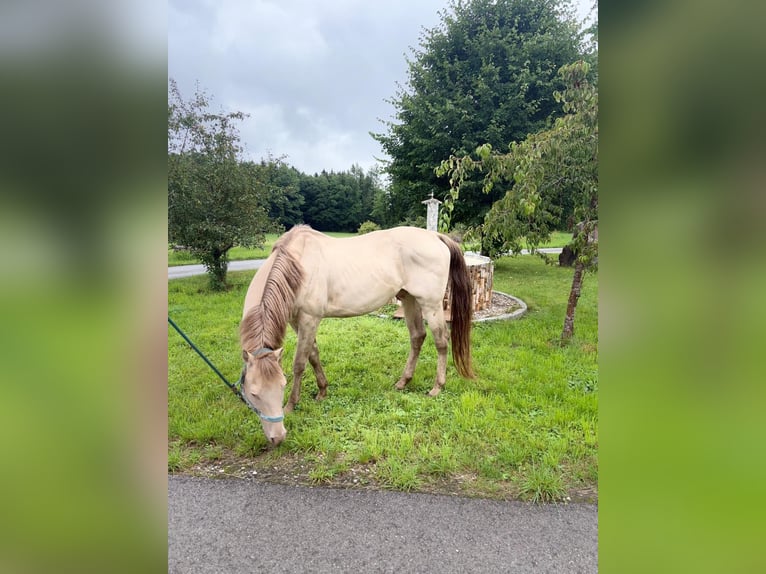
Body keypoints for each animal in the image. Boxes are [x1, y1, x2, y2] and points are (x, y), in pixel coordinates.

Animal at [238, 225, 475, 445]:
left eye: (282, 385)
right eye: (253, 393)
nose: (277, 437)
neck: (298, 265)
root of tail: (436, 236)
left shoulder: (309, 319)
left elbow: (299, 363)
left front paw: (291, 404)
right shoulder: (298, 321)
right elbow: (313, 354)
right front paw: (322, 391)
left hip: (430, 304)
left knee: (441, 341)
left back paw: (437, 387)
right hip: (409, 299)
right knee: (417, 336)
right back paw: (402, 382)